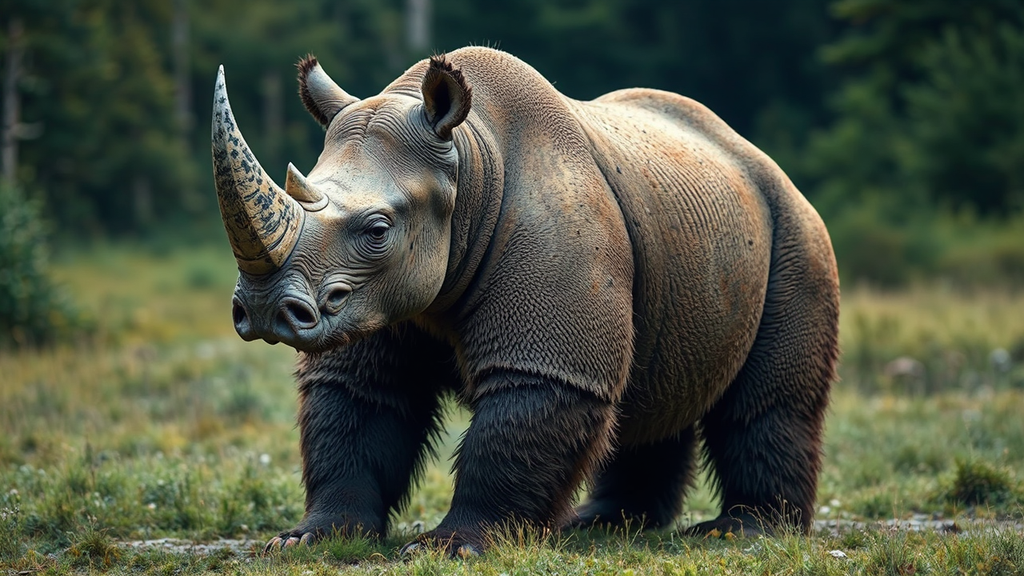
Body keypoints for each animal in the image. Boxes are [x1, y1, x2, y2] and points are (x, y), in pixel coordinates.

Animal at [211, 47, 839, 556]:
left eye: (377, 229)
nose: (264, 310)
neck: (466, 166)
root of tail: (759, 159)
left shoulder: (544, 353)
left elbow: (516, 423)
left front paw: (451, 549)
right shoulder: (376, 303)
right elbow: (358, 402)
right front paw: (308, 540)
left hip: (796, 234)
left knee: (768, 403)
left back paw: (740, 532)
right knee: (648, 391)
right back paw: (604, 526)